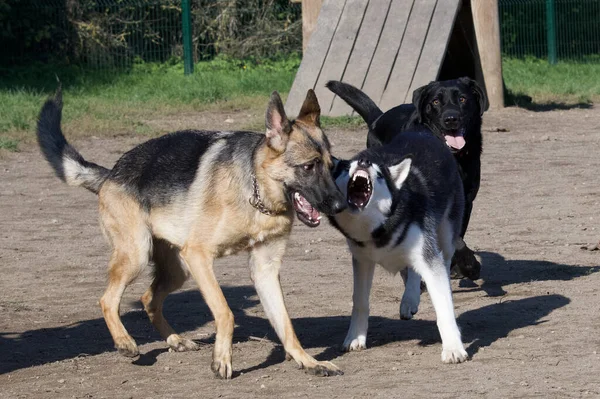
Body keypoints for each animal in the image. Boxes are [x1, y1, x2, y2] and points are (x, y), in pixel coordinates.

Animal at [37, 87, 344, 378]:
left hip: (177, 270)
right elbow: (225, 312)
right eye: (309, 166)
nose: (340, 206)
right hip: (138, 255)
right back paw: (125, 342)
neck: (256, 192)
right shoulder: (199, 256)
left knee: (148, 299)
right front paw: (222, 359)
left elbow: (286, 324)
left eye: (332, 166)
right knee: (107, 300)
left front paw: (308, 361)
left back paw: (175, 339)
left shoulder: (264, 269)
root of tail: (111, 172)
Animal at [328, 76, 488, 280]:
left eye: (462, 99)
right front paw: (468, 264)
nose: (451, 118)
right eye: (435, 102)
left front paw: (463, 265)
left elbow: (457, 235)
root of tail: (378, 118)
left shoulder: (465, 201)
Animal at [330, 131, 466, 366]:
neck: (378, 227)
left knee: (445, 260)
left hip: (446, 235)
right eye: (347, 168)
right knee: (412, 271)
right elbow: (360, 301)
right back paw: (409, 299)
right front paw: (355, 337)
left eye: (379, 174)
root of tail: (423, 132)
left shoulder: (429, 256)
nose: (364, 162)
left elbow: (444, 307)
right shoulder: (362, 260)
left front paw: (453, 348)